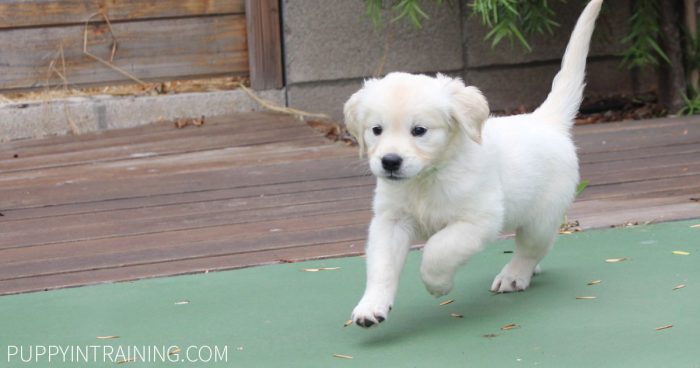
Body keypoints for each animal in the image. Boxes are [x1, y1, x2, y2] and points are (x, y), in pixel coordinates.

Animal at [344, 0, 600, 328]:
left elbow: (438, 248)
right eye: (376, 130)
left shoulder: (479, 219)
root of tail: (545, 119)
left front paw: (436, 284)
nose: (390, 161)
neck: (428, 177)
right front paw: (371, 306)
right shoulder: (391, 220)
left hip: (541, 216)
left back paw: (514, 275)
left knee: (531, 248)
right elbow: (382, 267)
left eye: (419, 130)